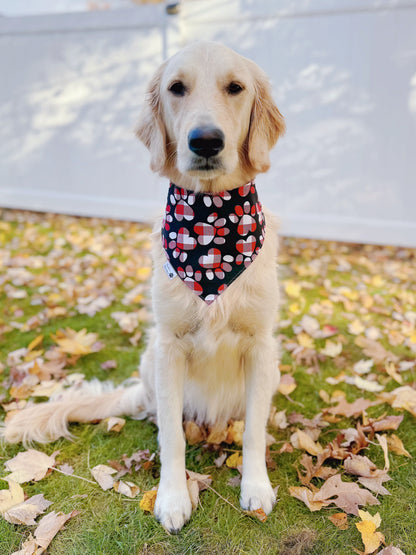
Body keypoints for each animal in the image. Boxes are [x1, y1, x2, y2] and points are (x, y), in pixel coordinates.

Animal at [0, 41, 286, 532]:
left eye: (235, 88)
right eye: (177, 88)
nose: (205, 140)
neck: (210, 231)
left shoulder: (260, 344)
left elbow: (254, 430)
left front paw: (256, 487)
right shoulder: (170, 346)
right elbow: (171, 435)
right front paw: (172, 498)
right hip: (151, 360)